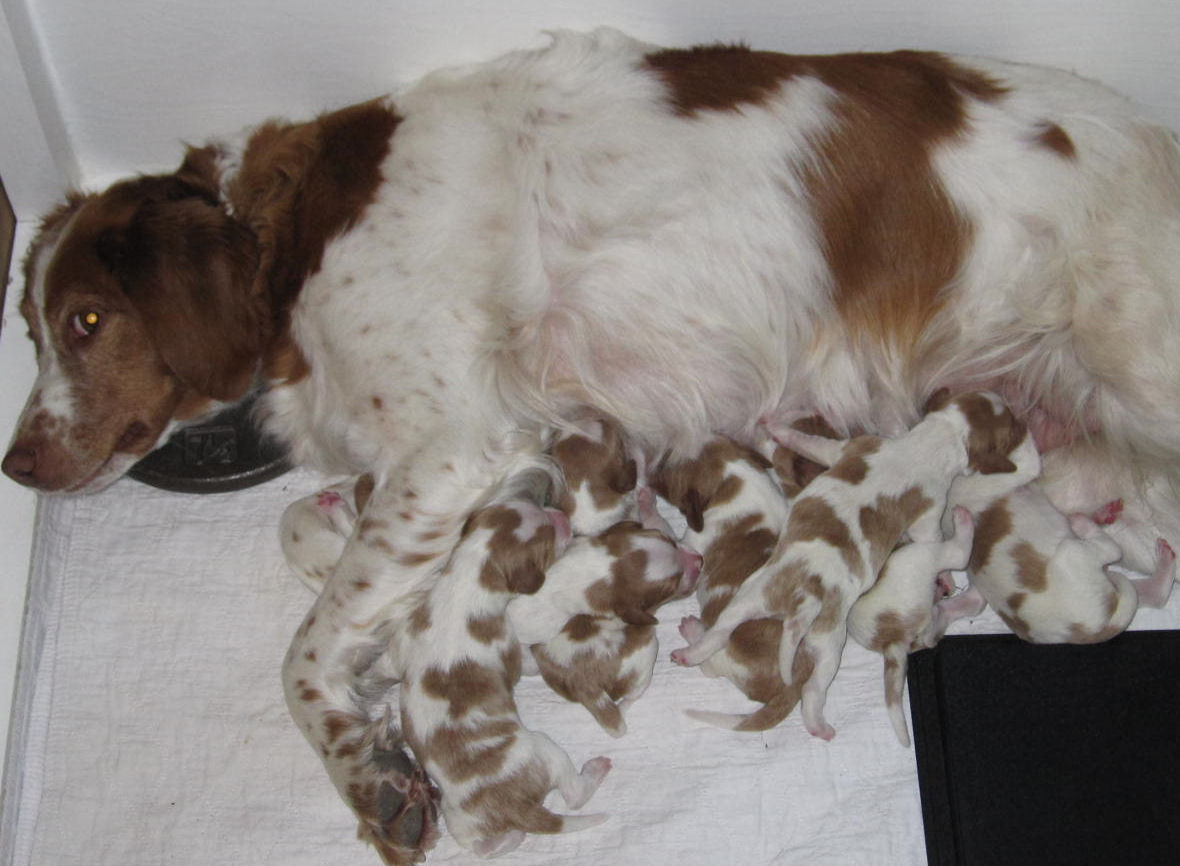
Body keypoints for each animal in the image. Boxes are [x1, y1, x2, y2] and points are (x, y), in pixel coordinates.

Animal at [401, 497, 613, 858]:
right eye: (548, 537)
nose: (562, 515)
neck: (468, 576)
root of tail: (518, 808)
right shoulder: (508, 645)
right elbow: (525, 663)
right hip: (545, 749)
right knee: (573, 795)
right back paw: (594, 771)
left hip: (459, 821)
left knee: (484, 848)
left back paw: (512, 838)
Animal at [849, 504, 986, 750]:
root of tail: (889, 639)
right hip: (918, 558)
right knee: (957, 555)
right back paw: (962, 520)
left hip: (926, 622)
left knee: (936, 626)